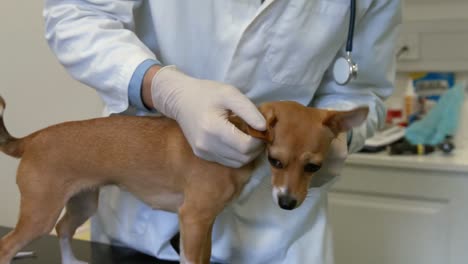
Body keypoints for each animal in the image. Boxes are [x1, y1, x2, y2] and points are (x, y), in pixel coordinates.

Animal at [0, 97, 368, 264]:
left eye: (314, 167)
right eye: (276, 161)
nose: (288, 203)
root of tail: (29, 140)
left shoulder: (204, 225)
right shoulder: (192, 219)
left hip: (82, 202)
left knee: (63, 229)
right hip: (40, 213)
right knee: (8, 244)